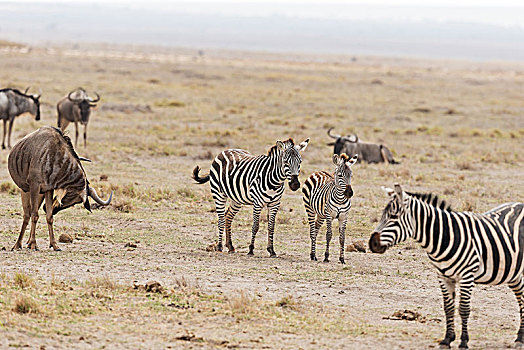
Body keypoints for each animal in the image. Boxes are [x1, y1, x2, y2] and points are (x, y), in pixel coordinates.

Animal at [368, 185, 524, 348]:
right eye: (382, 216)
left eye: (393, 216)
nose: (372, 244)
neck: (445, 237)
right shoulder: (443, 276)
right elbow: (448, 308)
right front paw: (447, 339)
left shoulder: (466, 276)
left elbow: (464, 309)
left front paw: (463, 342)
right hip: (513, 273)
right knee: (521, 297)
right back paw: (520, 337)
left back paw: (520, 339)